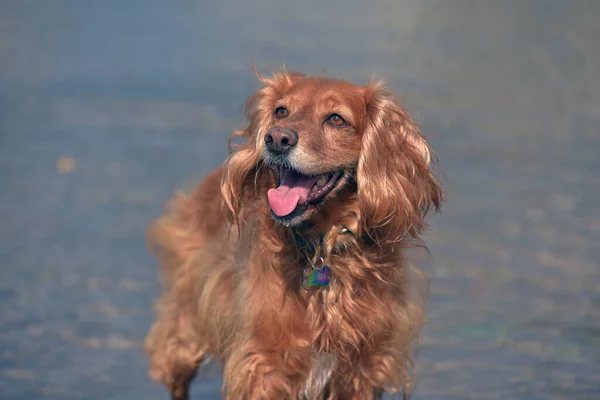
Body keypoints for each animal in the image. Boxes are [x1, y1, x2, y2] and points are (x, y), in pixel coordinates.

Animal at [144, 70, 442, 398]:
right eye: (281, 111)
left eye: (336, 119)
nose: (276, 138)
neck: (323, 249)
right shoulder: (263, 366)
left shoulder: (362, 370)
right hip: (185, 334)